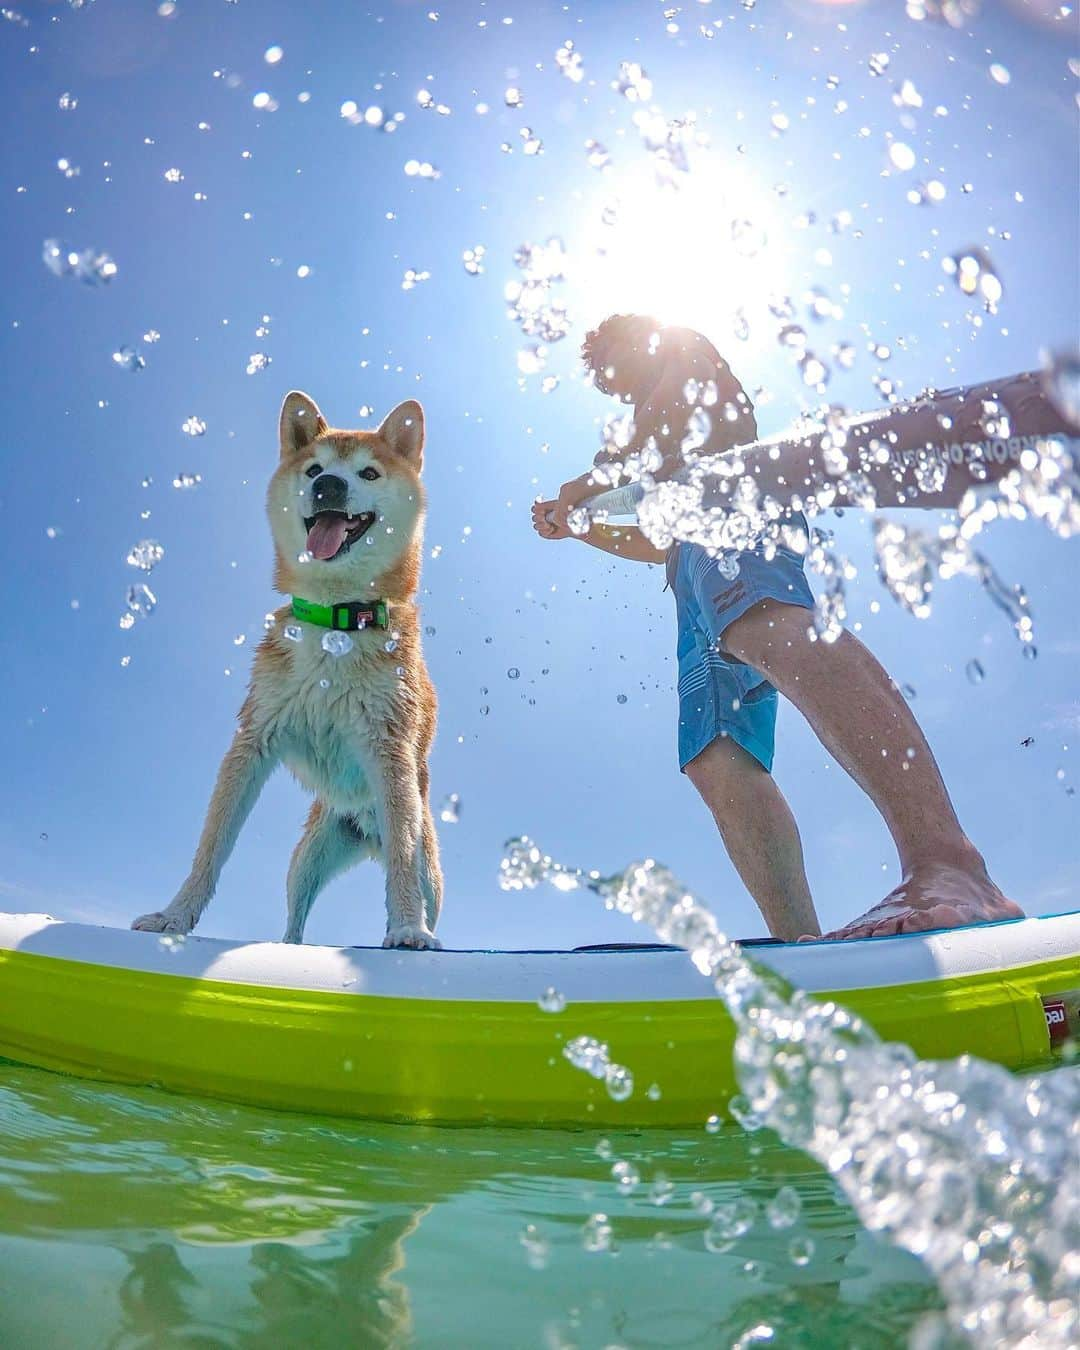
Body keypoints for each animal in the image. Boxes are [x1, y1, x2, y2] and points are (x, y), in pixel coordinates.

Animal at [131, 391, 442, 950]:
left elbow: (403, 865)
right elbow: (211, 846)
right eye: (314, 468)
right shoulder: (254, 736)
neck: (337, 622)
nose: (328, 485)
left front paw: (409, 928)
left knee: (410, 865)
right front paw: (175, 917)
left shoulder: (391, 750)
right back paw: (289, 948)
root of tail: (368, 833)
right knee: (296, 916)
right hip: (308, 857)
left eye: (368, 473)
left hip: (427, 856)